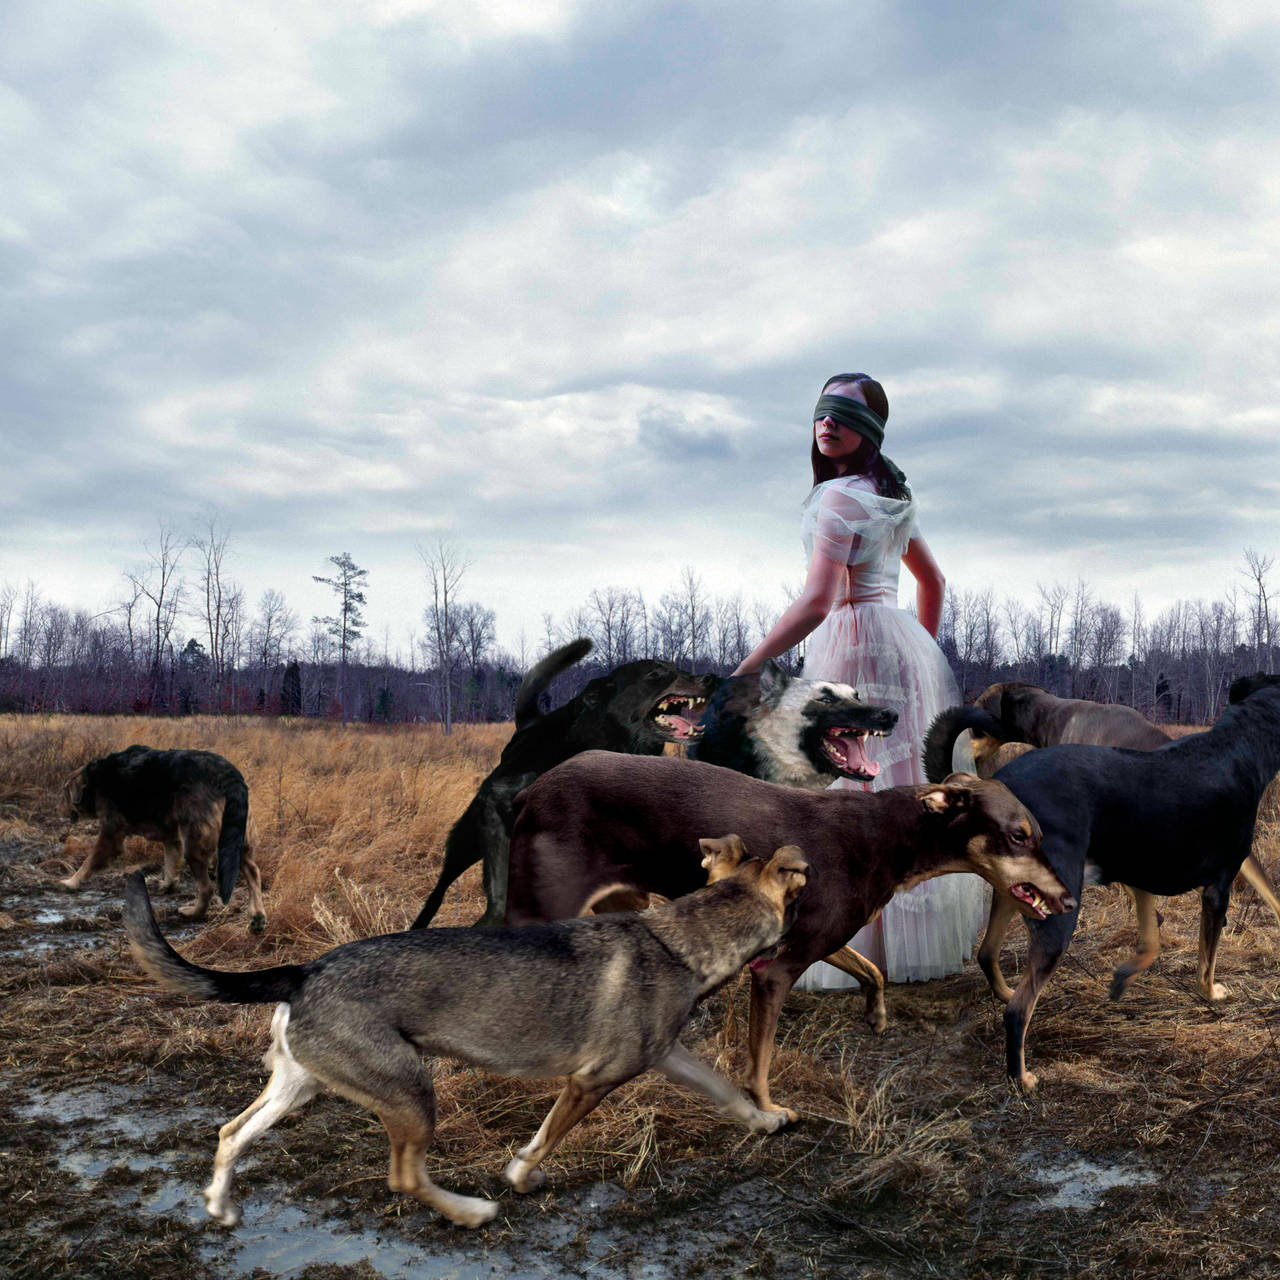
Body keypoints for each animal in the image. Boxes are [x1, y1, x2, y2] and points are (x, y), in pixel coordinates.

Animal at [120, 839, 803, 1228]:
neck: (682, 939)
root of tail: (304, 970)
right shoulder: (592, 1081)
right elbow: (543, 1141)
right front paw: (521, 1177)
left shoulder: (666, 1055)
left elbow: (726, 1091)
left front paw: (767, 1121)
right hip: (411, 1094)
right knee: (404, 1177)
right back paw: (471, 1212)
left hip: (299, 1087)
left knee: (230, 1134)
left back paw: (220, 1206)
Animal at [412, 640, 721, 931]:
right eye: (655, 673)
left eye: (678, 668)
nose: (711, 678)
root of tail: (528, 725)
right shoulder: (498, 804)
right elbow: (502, 892)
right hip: (466, 842)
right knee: (437, 894)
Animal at [504, 747, 1075, 1121]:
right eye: (1018, 836)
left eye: (1038, 836)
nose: (1069, 899)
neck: (887, 834)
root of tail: (532, 789)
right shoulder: (775, 970)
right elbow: (758, 1065)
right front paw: (768, 1109)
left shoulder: (814, 941)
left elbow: (872, 971)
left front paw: (876, 1015)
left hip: (623, 906)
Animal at [957, 670, 1280, 1090]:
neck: (1239, 745)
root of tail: (1001, 786)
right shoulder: (1216, 889)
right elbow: (1205, 961)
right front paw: (1210, 993)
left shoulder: (1141, 871)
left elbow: (1152, 938)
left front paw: (1123, 978)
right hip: (1058, 914)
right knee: (1017, 1011)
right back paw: (1022, 1078)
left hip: (1013, 895)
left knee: (987, 954)